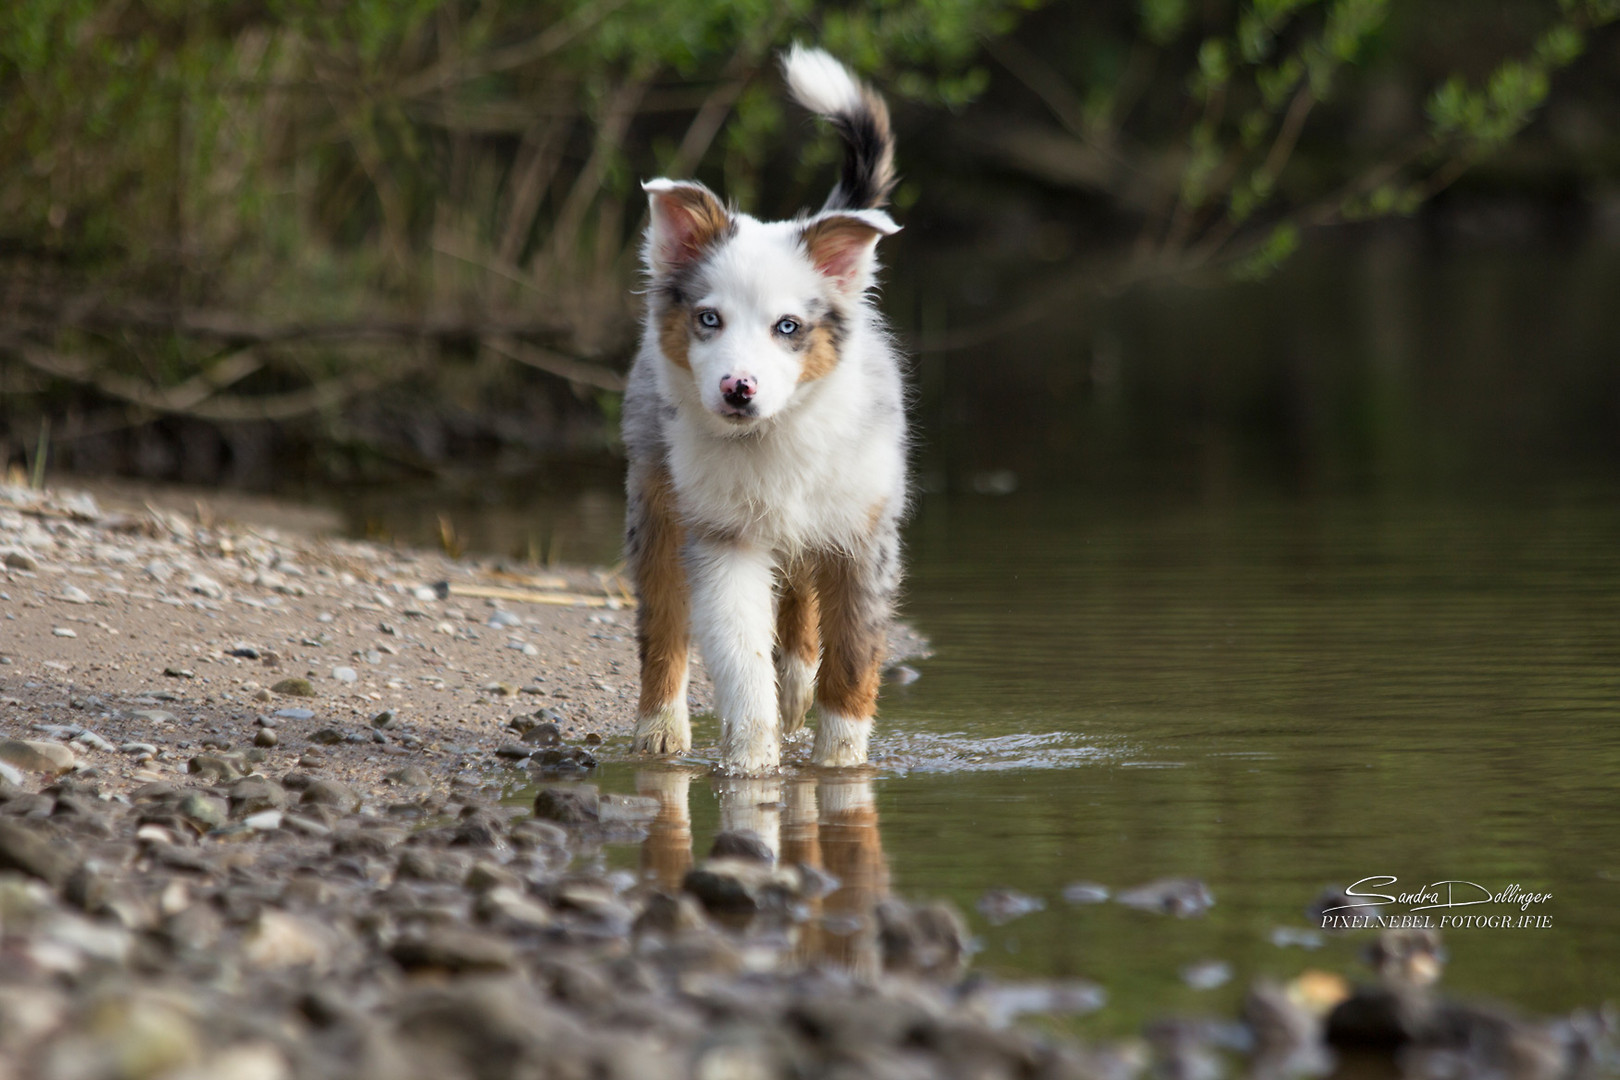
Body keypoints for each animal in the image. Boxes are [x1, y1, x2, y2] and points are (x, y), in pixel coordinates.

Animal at [618, 46, 907, 773]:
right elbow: (738, 653)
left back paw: (798, 688)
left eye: (788, 327)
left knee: (801, 606)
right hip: (654, 500)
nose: (737, 389)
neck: (778, 436)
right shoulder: (724, 537)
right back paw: (660, 730)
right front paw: (752, 761)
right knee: (664, 622)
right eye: (708, 319)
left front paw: (840, 760)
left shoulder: (864, 536)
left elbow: (852, 660)